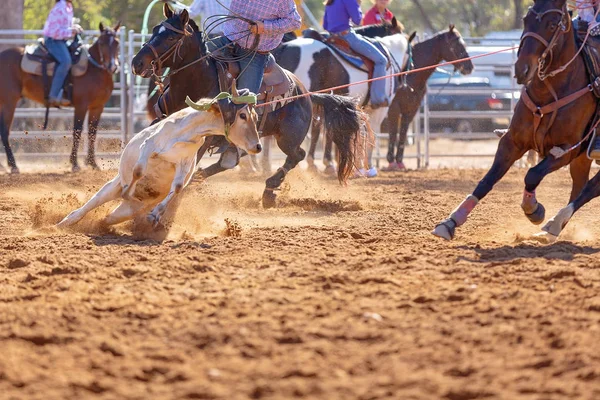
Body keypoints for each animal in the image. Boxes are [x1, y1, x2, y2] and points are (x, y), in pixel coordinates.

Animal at [0, 21, 120, 172]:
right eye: (102, 43)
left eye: (117, 43)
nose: (112, 66)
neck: (94, 69)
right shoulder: (81, 105)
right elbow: (77, 131)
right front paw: (75, 163)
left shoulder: (98, 107)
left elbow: (92, 132)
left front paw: (93, 163)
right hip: (9, 102)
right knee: (4, 131)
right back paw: (14, 166)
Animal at [133, 4, 364, 208]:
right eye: (155, 30)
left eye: (171, 37)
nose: (137, 63)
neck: (196, 83)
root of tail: (306, 92)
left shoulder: (206, 138)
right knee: (232, 161)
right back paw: (202, 178)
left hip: (287, 137)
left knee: (296, 155)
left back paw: (269, 190)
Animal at [384, 25, 474, 169]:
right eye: (456, 44)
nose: (469, 67)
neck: (409, 73)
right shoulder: (394, 108)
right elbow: (393, 132)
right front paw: (391, 161)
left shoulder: (411, 109)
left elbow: (403, 132)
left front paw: (400, 161)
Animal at [432, 0, 596, 241]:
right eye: (525, 20)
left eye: (552, 24)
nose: (522, 69)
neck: (551, 92)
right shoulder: (513, 141)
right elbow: (487, 180)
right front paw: (450, 221)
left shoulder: (566, 149)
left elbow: (532, 174)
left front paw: (534, 209)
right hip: (582, 159)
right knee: (581, 185)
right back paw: (552, 229)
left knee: (590, 188)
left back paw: (553, 223)